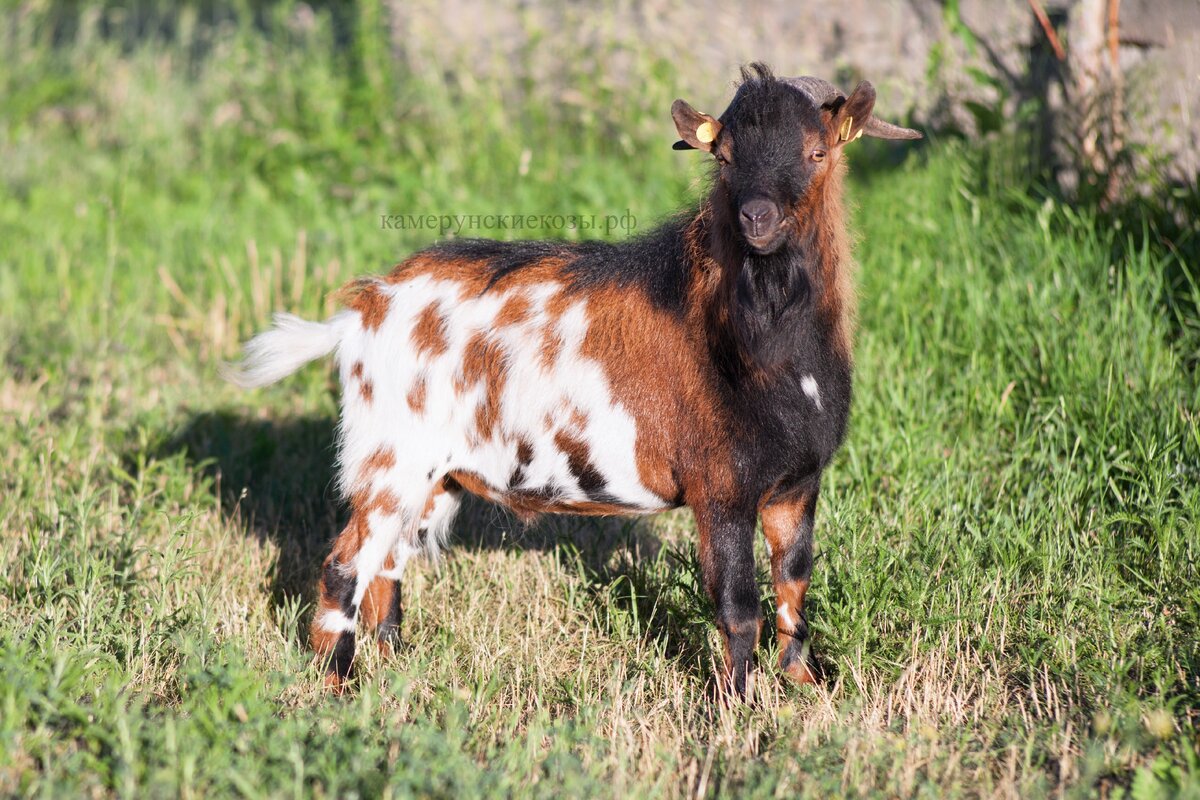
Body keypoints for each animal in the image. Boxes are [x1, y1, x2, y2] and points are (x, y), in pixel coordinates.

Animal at [229, 65, 921, 695]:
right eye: (723, 158)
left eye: (817, 151)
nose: (757, 217)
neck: (757, 344)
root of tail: (363, 310)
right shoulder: (721, 490)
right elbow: (738, 606)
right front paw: (735, 709)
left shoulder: (795, 485)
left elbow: (794, 583)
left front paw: (808, 683)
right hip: (389, 456)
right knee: (345, 565)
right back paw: (338, 686)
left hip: (430, 474)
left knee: (388, 564)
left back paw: (396, 663)